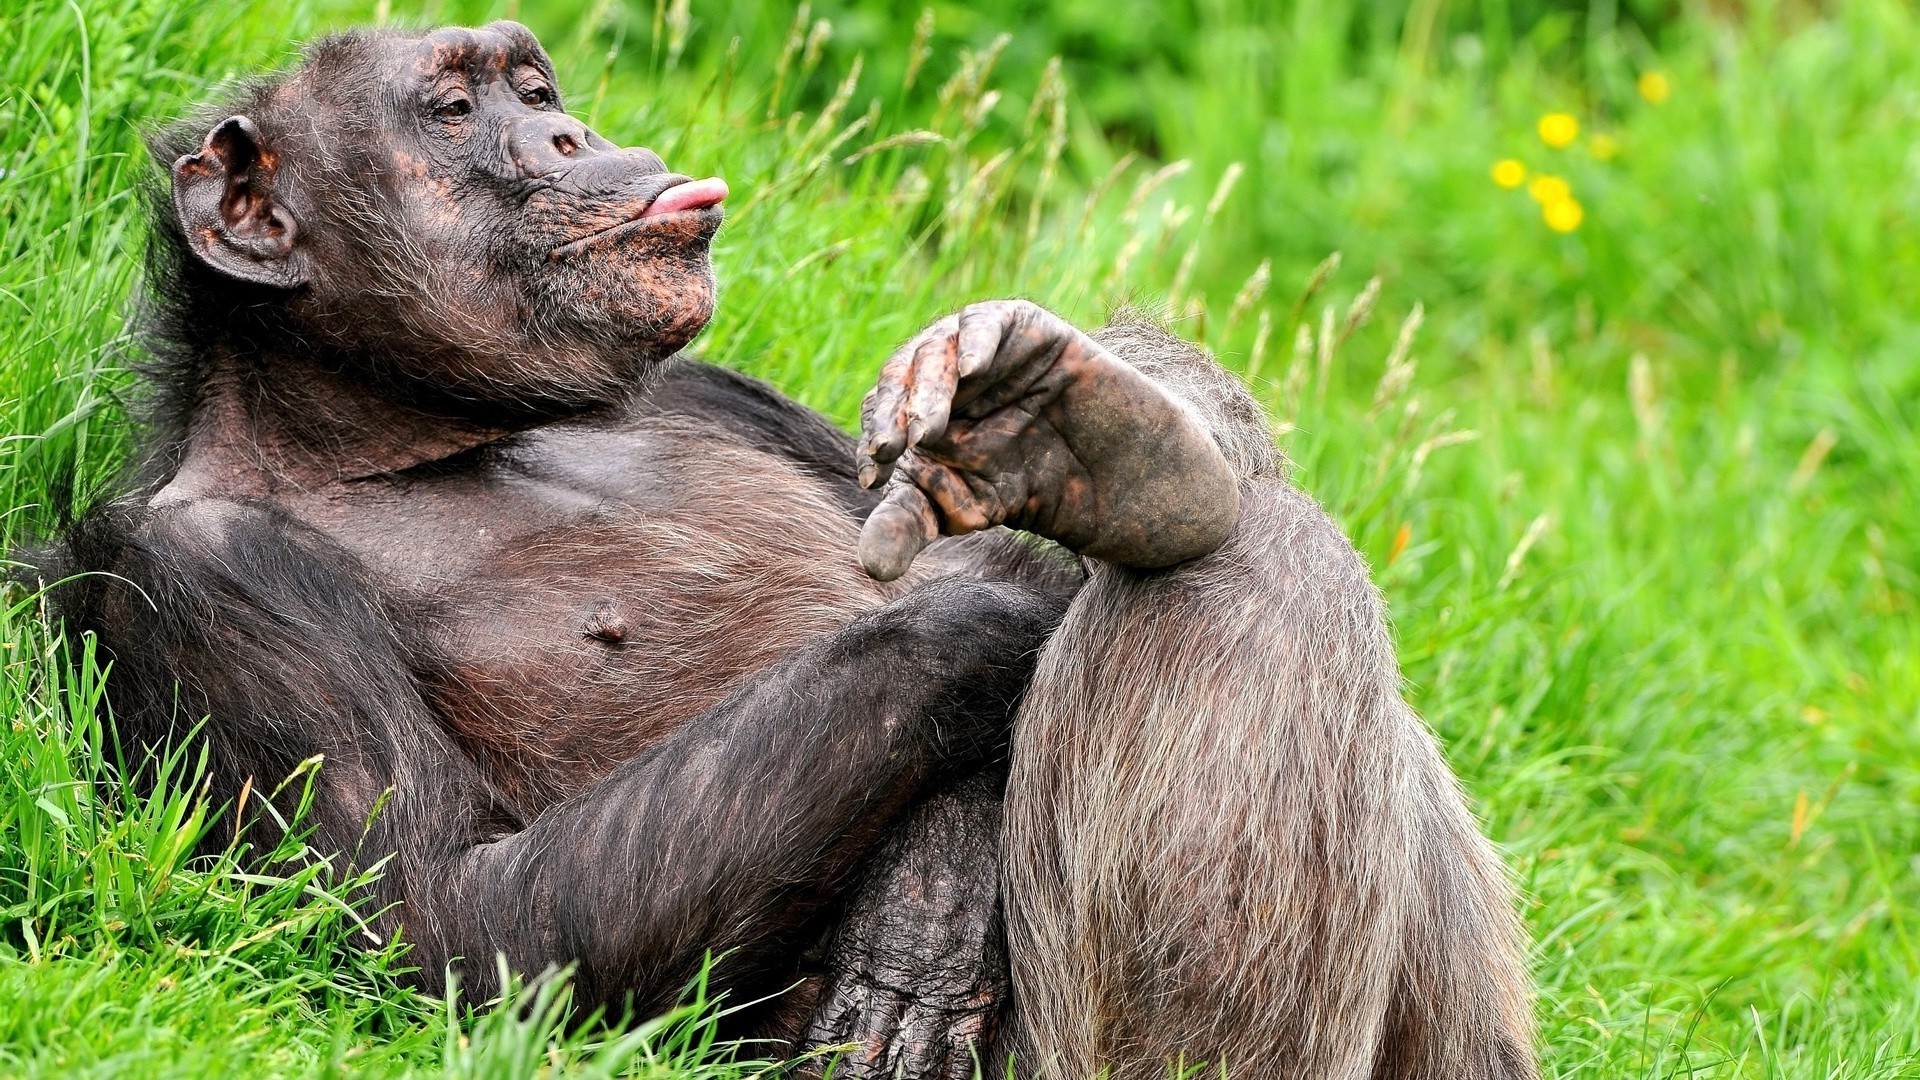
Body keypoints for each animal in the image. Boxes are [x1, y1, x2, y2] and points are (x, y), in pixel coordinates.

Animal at [45, 18, 1536, 1076]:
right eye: (457, 113)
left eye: (533, 86)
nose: (574, 133)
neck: (417, 434)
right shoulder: (205, 583)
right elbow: (446, 928)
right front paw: (987, 635)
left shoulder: (716, 390)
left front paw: (1049, 425)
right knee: (1244, 577)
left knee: (1249, 536)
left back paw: (1112, 459)